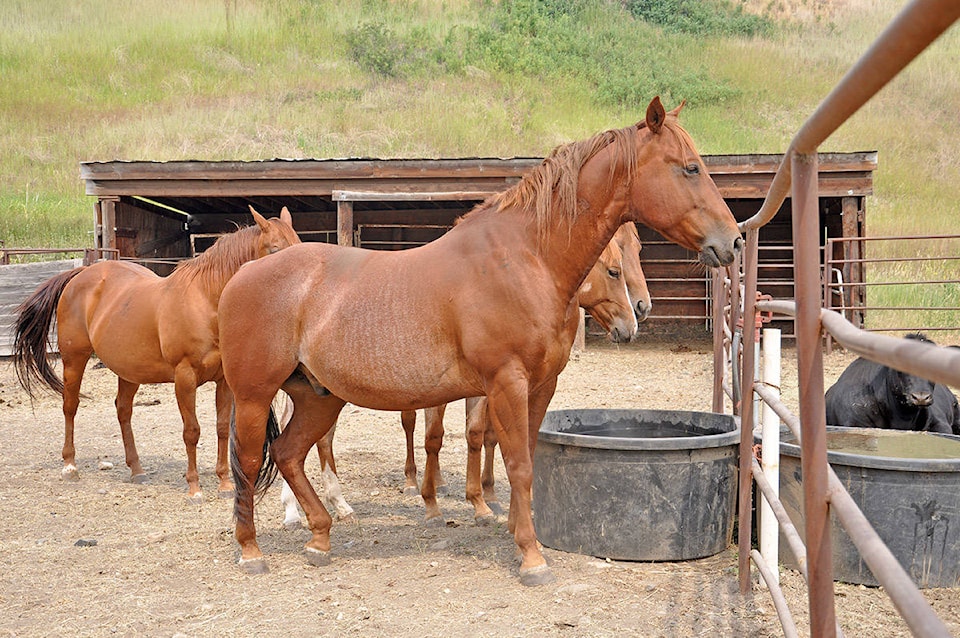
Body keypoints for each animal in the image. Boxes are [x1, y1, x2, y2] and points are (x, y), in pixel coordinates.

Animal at [11, 208, 296, 502]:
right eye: (275, 249)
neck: (206, 301)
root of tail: (82, 273)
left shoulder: (223, 382)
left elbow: (221, 429)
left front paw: (225, 484)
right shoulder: (185, 378)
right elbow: (191, 431)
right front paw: (194, 487)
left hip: (128, 370)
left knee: (123, 411)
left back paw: (136, 469)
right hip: (74, 359)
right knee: (70, 407)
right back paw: (70, 466)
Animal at [278, 225, 648, 528]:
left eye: (638, 248)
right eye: (613, 269)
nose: (637, 315)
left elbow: (479, 435)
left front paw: (484, 500)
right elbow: (438, 437)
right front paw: (436, 503)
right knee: (346, 435)